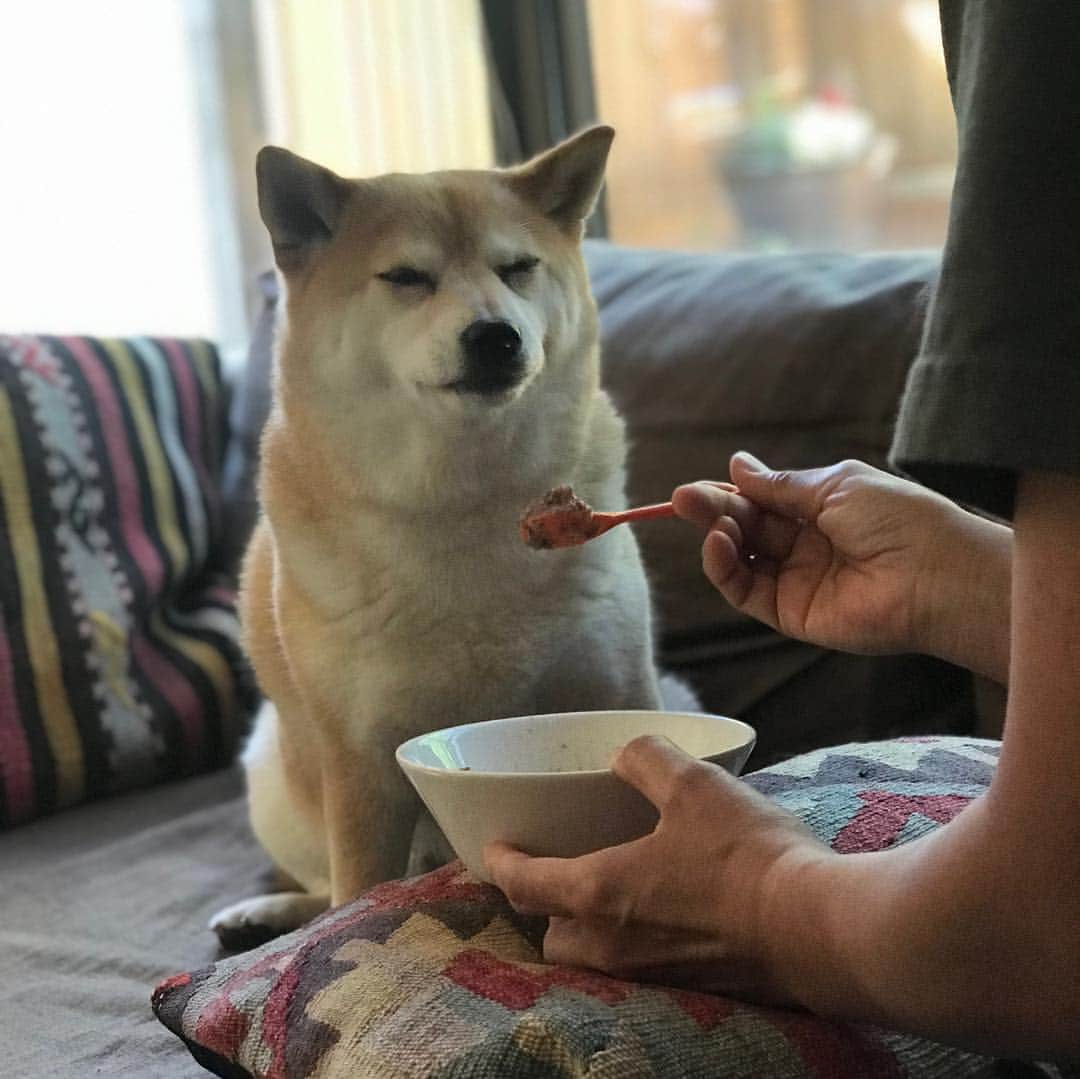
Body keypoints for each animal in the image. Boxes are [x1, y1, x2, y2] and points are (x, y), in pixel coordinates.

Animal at [210, 126, 678, 950]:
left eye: (517, 267)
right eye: (406, 277)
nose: (495, 335)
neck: (468, 498)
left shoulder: (621, 686)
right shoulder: (360, 761)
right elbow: (358, 890)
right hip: (274, 772)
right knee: (323, 887)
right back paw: (266, 914)